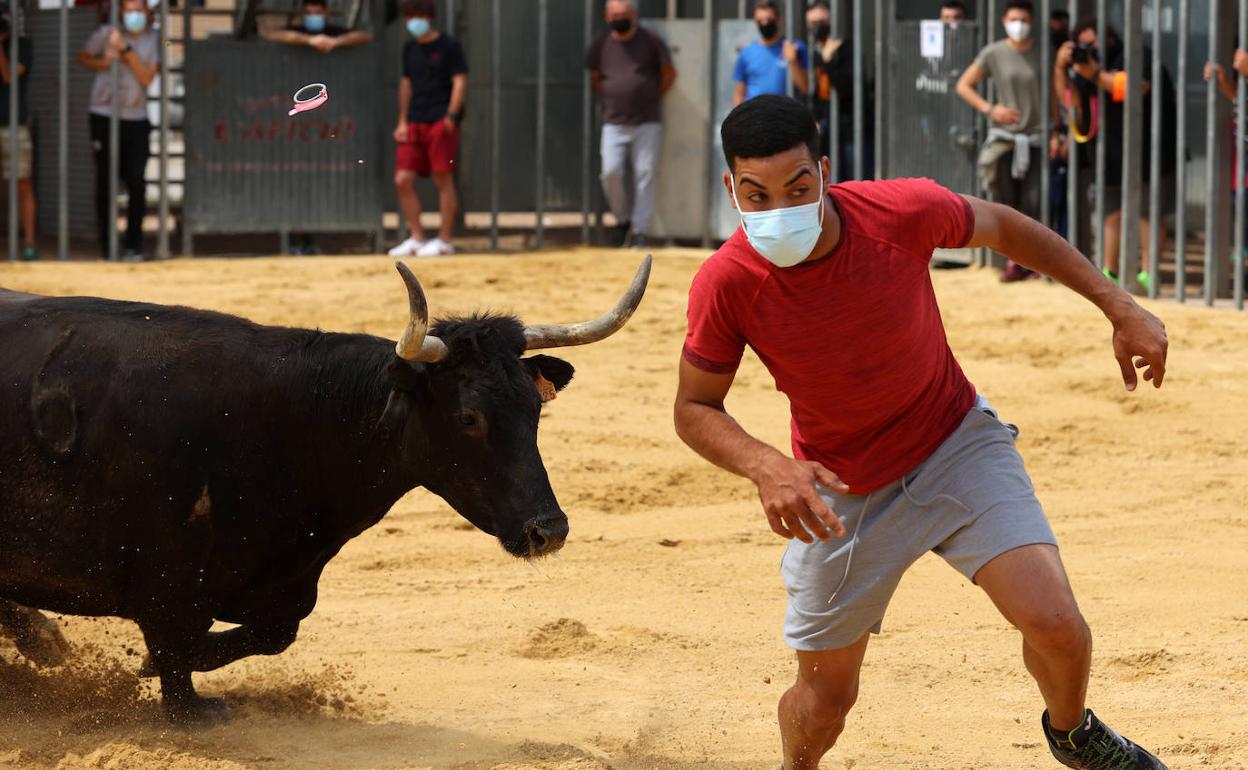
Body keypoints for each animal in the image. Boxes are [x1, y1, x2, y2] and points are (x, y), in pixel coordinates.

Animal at [2, 257, 653, 718]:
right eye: (469, 417)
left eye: (534, 410)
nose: (549, 531)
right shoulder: (166, 582)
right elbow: (177, 664)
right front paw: (172, 691)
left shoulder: (283, 583)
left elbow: (272, 632)